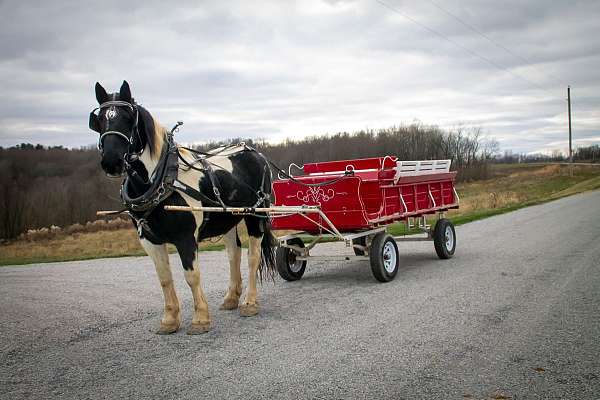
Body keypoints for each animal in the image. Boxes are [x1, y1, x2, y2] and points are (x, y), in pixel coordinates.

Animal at [88, 80, 276, 334]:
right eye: (99, 120)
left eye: (128, 117)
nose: (111, 161)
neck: (162, 181)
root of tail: (254, 151)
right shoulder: (149, 240)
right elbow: (164, 279)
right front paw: (169, 320)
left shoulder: (185, 237)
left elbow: (191, 276)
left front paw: (200, 319)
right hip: (227, 218)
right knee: (233, 254)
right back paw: (231, 298)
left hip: (256, 214)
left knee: (252, 256)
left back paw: (249, 303)